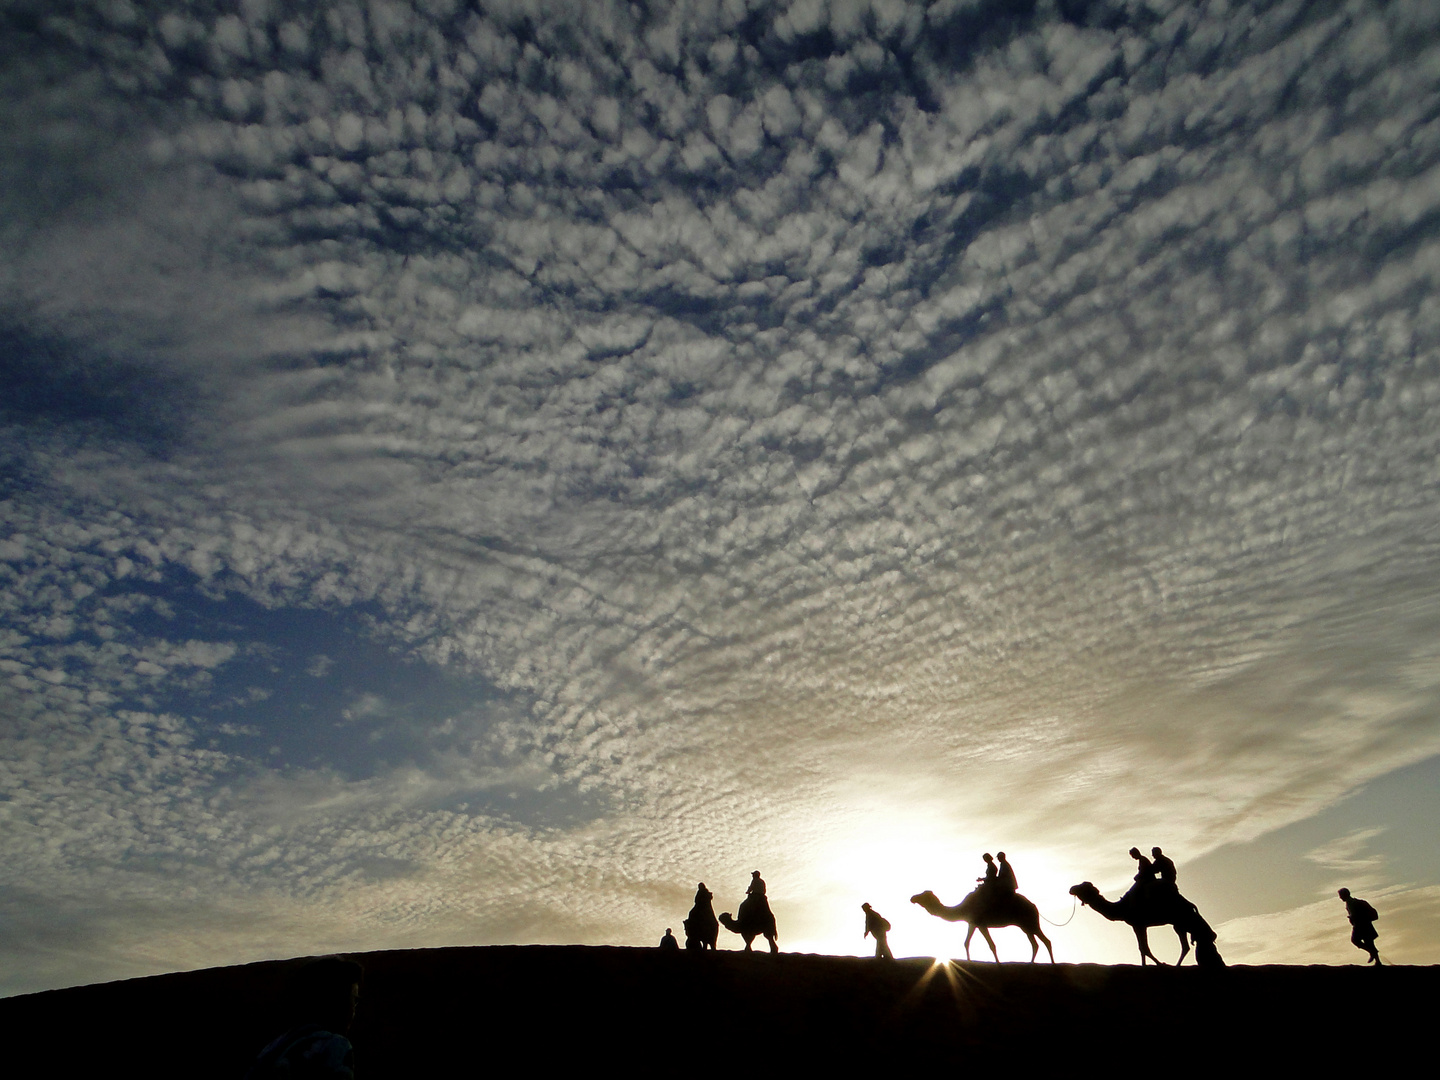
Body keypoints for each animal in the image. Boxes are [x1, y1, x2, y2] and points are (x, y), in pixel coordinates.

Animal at [910, 887, 1059, 961]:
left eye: (923, 895)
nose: (912, 898)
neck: (963, 909)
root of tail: (1034, 906)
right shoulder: (972, 923)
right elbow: (966, 942)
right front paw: (969, 961)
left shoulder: (981, 924)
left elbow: (992, 945)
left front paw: (998, 964)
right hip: (1025, 926)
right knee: (1036, 943)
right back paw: (1031, 963)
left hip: (1030, 922)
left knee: (1046, 941)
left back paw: (1052, 964)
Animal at [1071, 881, 1226, 967]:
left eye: (1084, 887)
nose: (1071, 888)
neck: (1122, 908)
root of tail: (1190, 904)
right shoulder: (1138, 925)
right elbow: (1143, 948)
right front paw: (1152, 964)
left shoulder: (1138, 924)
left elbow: (1144, 948)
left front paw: (1158, 964)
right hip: (1180, 923)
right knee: (1190, 943)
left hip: (1180, 920)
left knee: (1190, 943)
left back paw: (1176, 966)